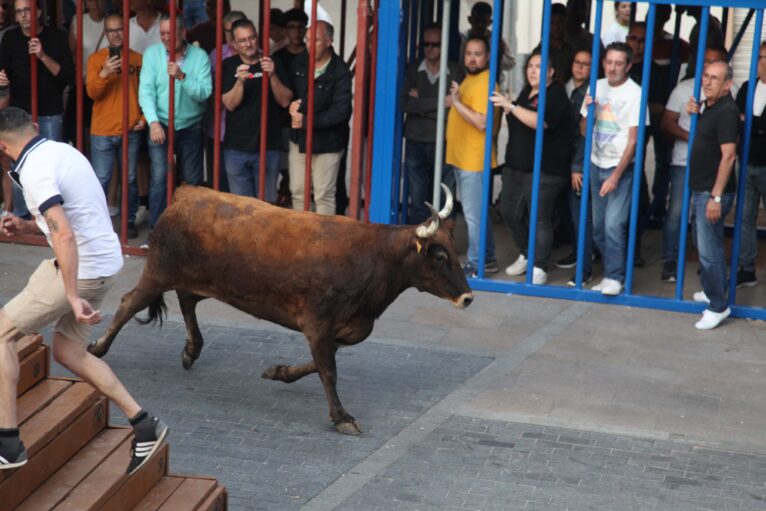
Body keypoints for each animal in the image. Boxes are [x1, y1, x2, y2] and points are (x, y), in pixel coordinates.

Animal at [90, 186, 474, 434]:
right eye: (439, 254)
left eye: (452, 251)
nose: (468, 297)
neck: (374, 258)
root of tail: (185, 194)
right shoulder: (318, 322)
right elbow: (328, 371)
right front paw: (342, 417)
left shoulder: (342, 329)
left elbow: (318, 365)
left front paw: (279, 372)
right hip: (158, 273)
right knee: (128, 303)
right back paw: (98, 348)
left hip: (193, 277)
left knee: (187, 299)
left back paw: (191, 350)